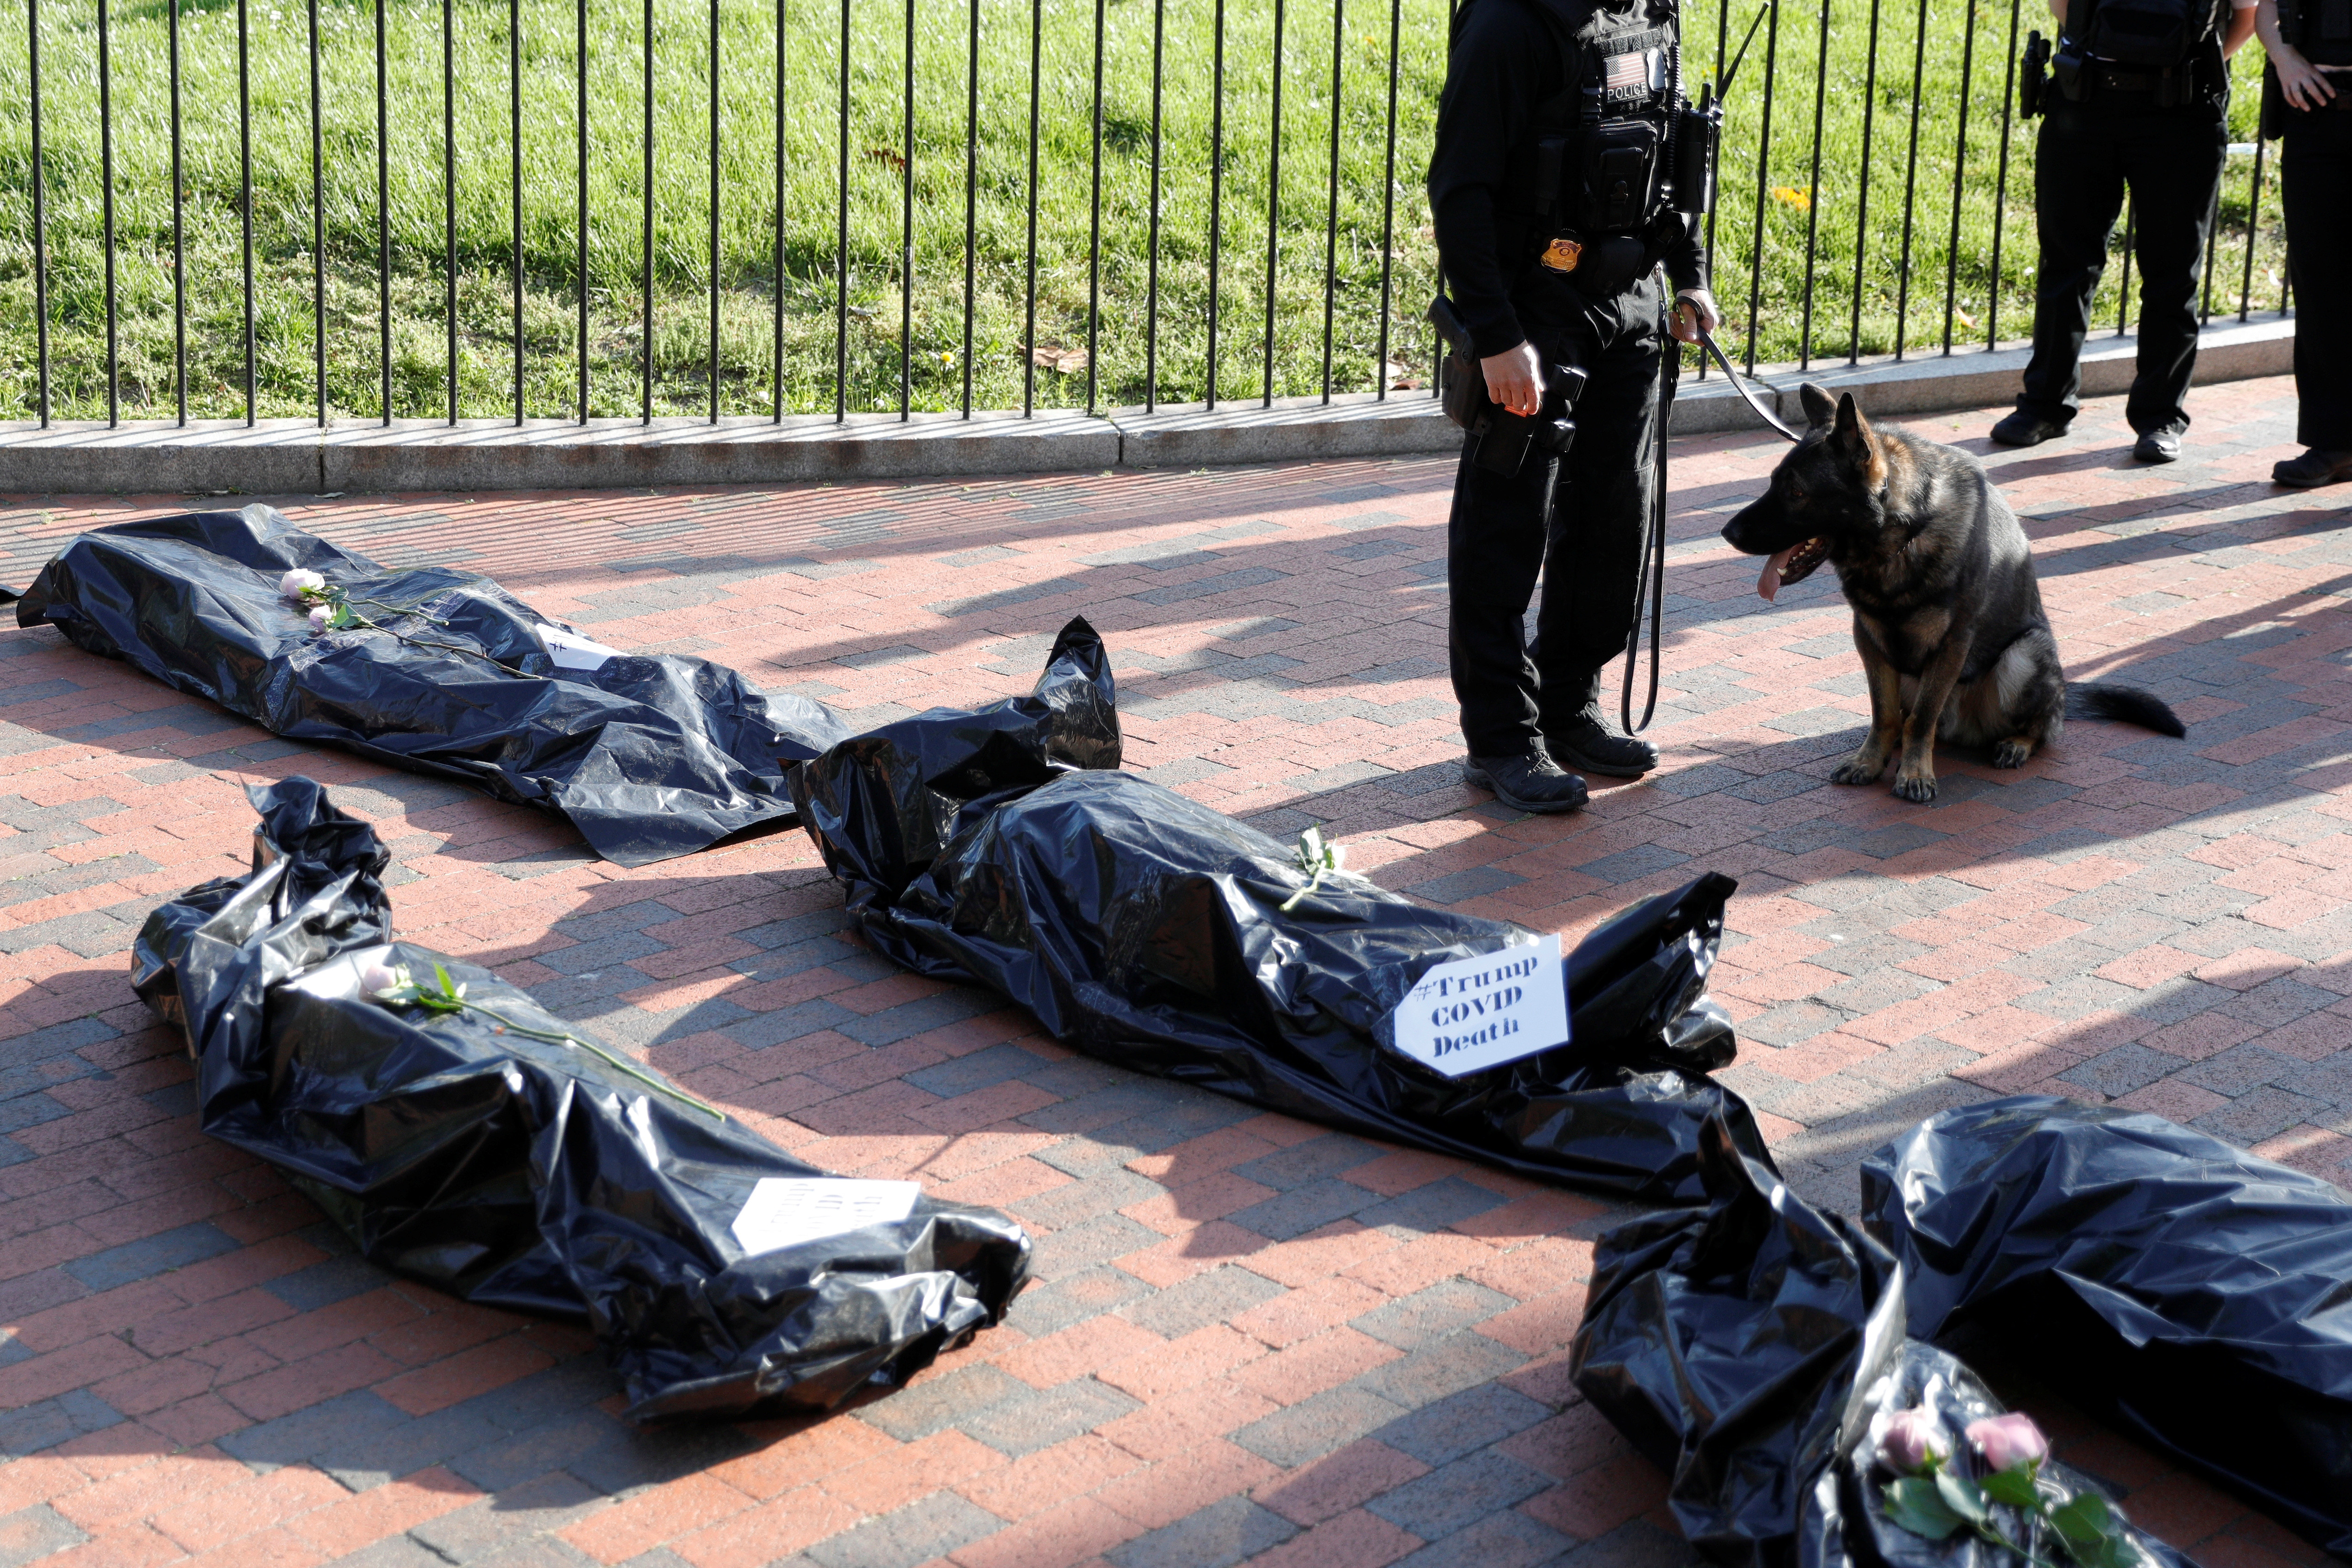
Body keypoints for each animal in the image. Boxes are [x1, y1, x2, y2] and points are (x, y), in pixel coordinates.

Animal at [1712, 385, 2183, 804]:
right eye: (1773, 482)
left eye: (1796, 492)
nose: (1727, 533)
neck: (1903, 535)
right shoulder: (1869, 639)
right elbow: (1884, 715)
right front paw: (1870, 761)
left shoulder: (1953, 644)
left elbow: (1921, 719)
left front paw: (1916, 774)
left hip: (2024, 655)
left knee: (2040, 729)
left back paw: (2016, 743)